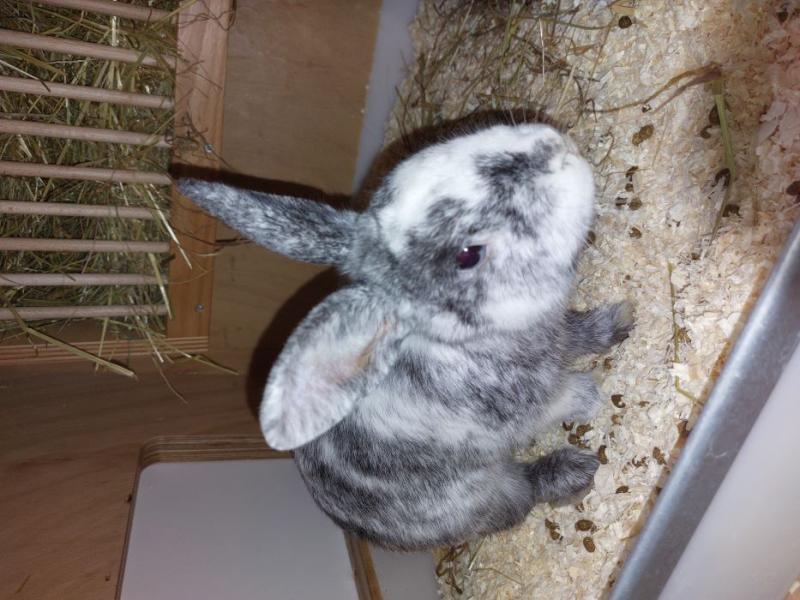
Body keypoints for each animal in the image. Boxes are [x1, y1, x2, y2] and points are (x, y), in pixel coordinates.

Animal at [176, 122, 633, 551]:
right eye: (468, 255)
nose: (556, 149)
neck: (458, 341)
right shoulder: (527, 408)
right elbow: (564, 399)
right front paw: (591, 396)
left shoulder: (556, 336)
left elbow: (578, 336)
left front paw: (620, 322)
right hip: (487, 494)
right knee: (522, 495)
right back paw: (575, 471)